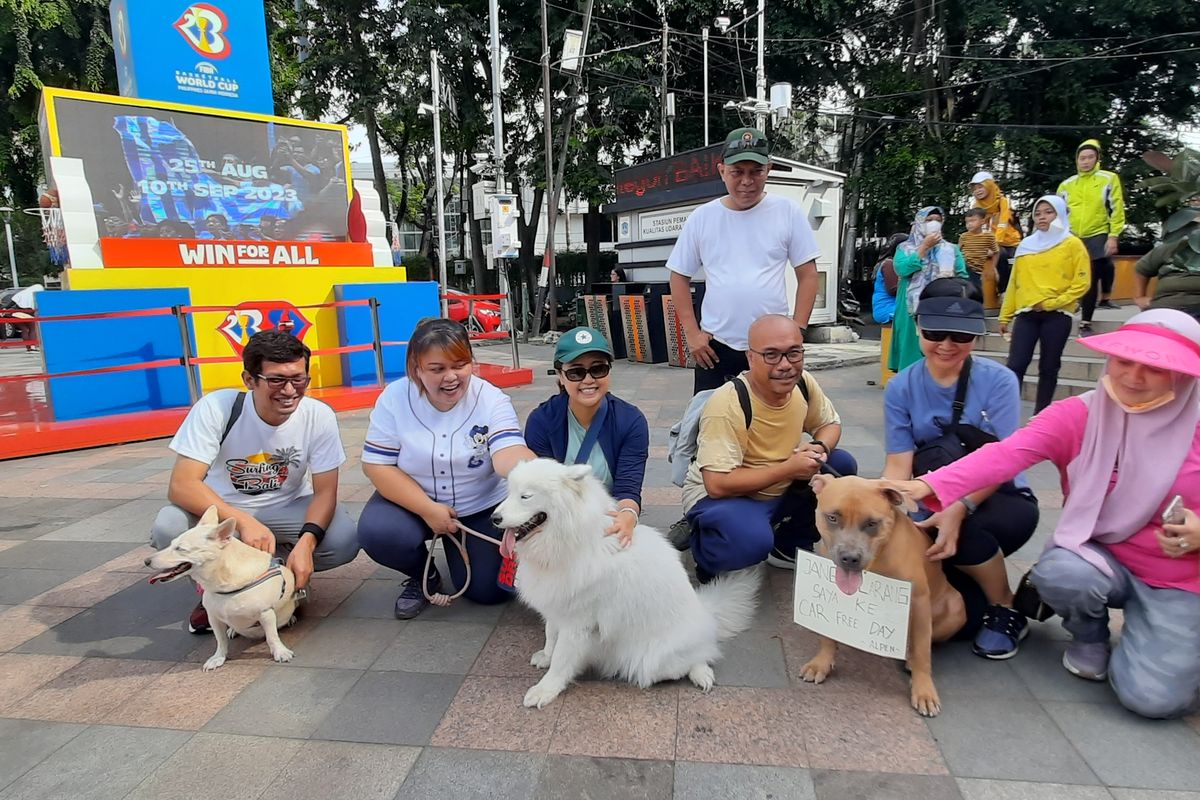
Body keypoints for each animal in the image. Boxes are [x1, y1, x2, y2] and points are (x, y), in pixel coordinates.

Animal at [144, 506, 297, 671]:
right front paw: (218, 658)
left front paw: (280, 652)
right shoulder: (214, 618)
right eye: (171, 544)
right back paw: (232, 630)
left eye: (181, 549)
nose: (146, 561)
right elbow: (220, 640)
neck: (225, 586)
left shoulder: (266, 614)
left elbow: (272, 636)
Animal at [489, 460, 758, 710]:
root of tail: (705, 612)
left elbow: (562, 659)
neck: (572, 542)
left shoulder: (578, 622)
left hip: (653, 661)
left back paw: (701, 672)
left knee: (698, 656)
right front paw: (546, 656)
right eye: (509, 492)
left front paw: (545, 689)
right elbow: (550, 634)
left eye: (526, 496)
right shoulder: (557, 606)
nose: (494, 518)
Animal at [796, 474, 964, 719]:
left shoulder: (918, 600)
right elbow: (827, 634)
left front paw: (924, 691)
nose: (850, 558)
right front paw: (822, 662)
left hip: (955, 608)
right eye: (832, 518)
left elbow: (923, 652)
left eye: (872, 523)